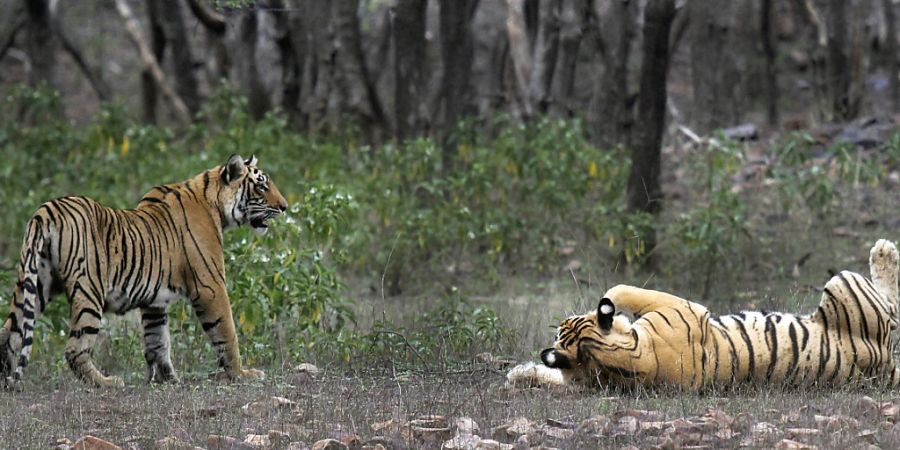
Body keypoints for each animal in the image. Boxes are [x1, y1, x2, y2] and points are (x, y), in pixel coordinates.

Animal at [0, 155, 288, 386]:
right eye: (262, 186)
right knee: (75, 348)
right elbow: (226, 332)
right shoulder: (210, 286)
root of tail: (46, 210)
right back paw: (106, 382)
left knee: (10, 333)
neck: (215, 204)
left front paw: (168, 379)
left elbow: (158, 341)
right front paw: (242, 374)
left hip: (35, 284)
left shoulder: (154, 301)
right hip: (88, 289)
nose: (284, 206)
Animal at [506, 239, 900, 390]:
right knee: (893, 306)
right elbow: (619, 290)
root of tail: (883, 365)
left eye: (562, 328)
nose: (561, 320)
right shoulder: (684, 307)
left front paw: (519, 373)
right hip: (843, 283)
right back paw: (884, 250)